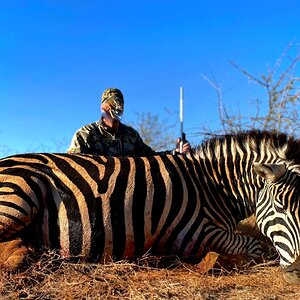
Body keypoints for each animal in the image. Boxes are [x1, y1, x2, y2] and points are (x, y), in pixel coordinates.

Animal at [0, 130, 298, 282]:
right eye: (280, 207)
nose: (296, 272)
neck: (211, 185)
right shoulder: (194, 232)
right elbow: (254, 246)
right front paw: (211, 263)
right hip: (20, 195)